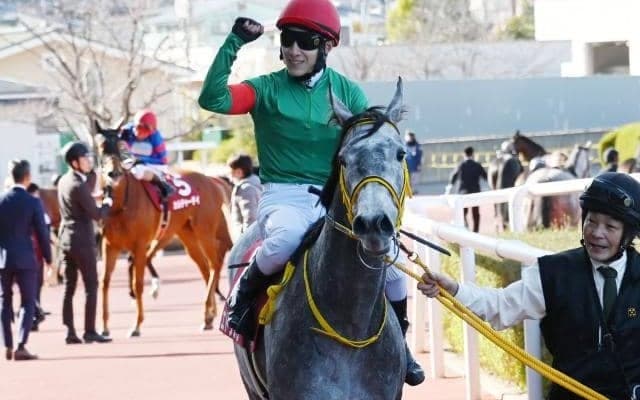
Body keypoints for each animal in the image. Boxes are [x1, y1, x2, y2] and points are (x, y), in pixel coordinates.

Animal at [94, 123, 233, 337]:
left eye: (118, 145)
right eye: (101, 146)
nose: (114, 173)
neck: (120, 205)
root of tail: (211, 180)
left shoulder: (139, 245)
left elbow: (138, 283)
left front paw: (137, 325)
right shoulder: (110, 246)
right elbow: (105, 282)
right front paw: (105, 327)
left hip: (204, 231)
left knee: (214, 264)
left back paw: (207, 311)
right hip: (187, 235)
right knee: (205, 268)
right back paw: (208, 316)